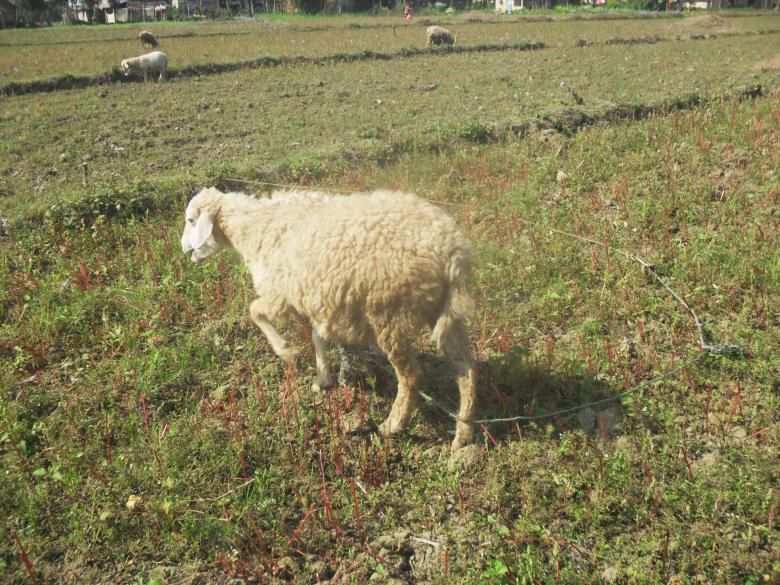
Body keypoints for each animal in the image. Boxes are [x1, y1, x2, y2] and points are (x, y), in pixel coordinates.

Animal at [181, 187, 478, 450]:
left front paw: (287, 352)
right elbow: (318, 338)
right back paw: (463, 433)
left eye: (191, 220)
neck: (256, 226)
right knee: (466, 370)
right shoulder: (315, 296)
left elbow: (255, 312)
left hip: (389, 312)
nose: (183, 249)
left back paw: (392, 425)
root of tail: (453, 252)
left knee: (411, 376)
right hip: (444, 314)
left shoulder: (280, 295)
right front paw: (322, 379)